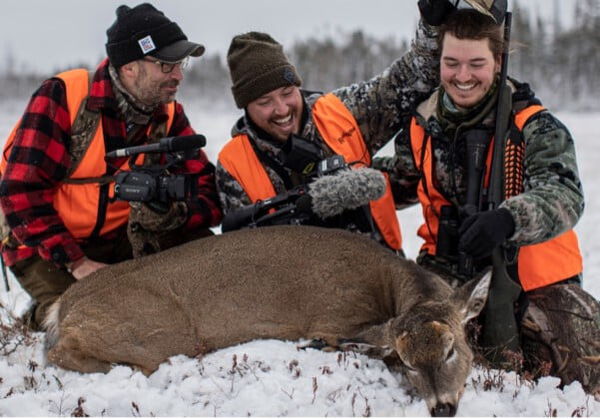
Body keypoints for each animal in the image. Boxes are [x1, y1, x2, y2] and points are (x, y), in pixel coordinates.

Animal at [44, 226, 490, 416]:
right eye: (408, 363)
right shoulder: (334, 317)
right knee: (61, 352)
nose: (442, 408)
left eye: (452, 350)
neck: (387, 284)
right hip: (159, 332)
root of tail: (63, 306)